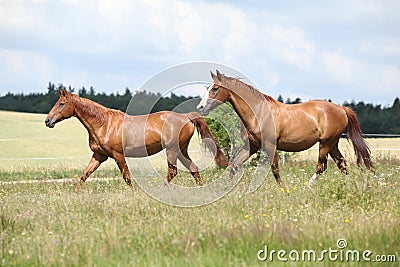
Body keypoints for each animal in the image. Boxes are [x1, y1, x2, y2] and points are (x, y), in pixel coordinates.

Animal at [45, 90, 228, 193]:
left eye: (62, 104)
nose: (48, 121)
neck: (104, 124)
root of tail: (186, 117)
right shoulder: (99, 156)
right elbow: (85, 174)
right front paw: (75, 194)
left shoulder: (118, 155)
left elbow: (126, 177)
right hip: (181, 150)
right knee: (193, 168)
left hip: (172, 150)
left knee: (173, 172)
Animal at [198, 70, 374, 185]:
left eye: (215, 88)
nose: (200, 107)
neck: (259, 112)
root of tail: (341, 109)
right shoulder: (252, 145)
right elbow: (234, 166)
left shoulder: (270, 145)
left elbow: (275, 169)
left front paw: (282, 190)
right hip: (333, 144)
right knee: (342, 164)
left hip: (326, 143)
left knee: (321, 166)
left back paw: (308, 186)